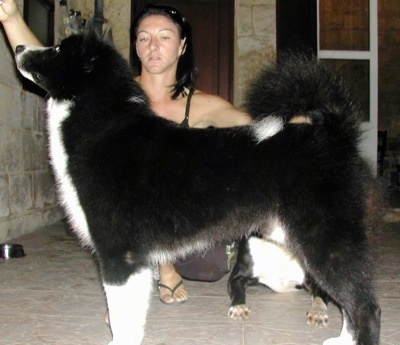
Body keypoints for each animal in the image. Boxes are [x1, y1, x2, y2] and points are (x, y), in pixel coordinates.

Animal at [14, 24, 380, 344]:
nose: (17, 47)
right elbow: (133, 316)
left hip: (325, 242)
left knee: (365, 306)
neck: (101, 121)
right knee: (351, 304)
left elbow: (121, 317)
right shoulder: (138, 261)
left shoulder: (120, 254)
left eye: (57, 49)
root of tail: (334, 137)